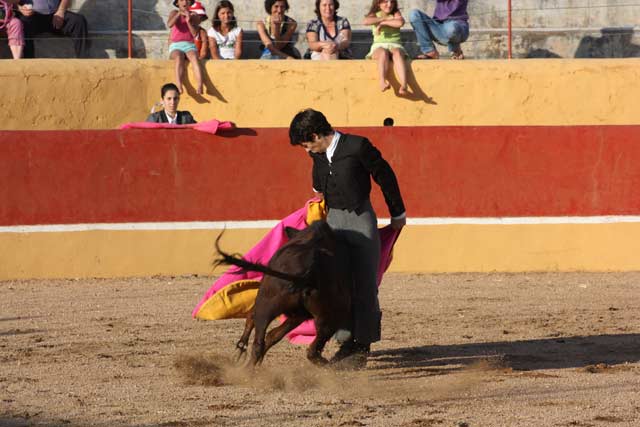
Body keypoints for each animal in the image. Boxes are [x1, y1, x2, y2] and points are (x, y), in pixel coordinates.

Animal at [216, 222, 356, 366]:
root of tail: (310, 270)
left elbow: (254, 320)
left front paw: (241, 347)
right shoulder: (300, 314)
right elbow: (273, 334)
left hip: (267, 305)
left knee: (260, 339)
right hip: (329, 316)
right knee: (310, 348)